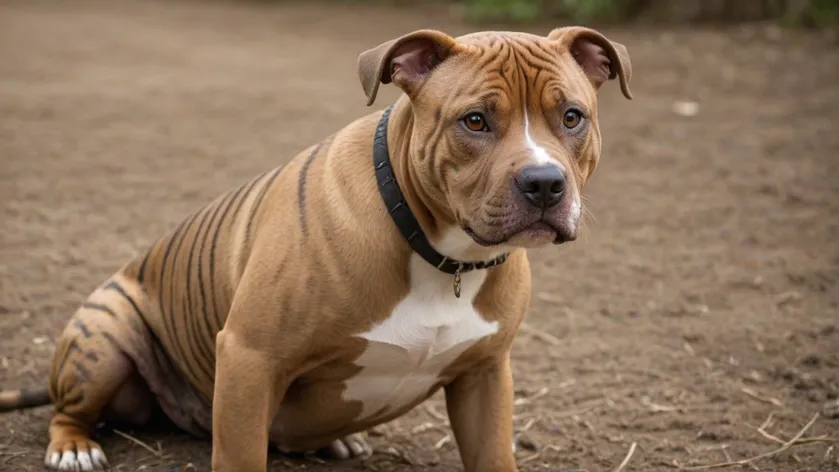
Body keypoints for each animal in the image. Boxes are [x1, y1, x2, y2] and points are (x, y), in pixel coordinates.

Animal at [0, 26, 632, 472]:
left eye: (572, 117)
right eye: (474, 121)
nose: (544, 183)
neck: (438, 252)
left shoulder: (484, 376)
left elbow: (494, 454)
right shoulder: (250, 357)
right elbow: (240, 457)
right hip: (104, 339)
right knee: (68, 410)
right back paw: (73, 447)